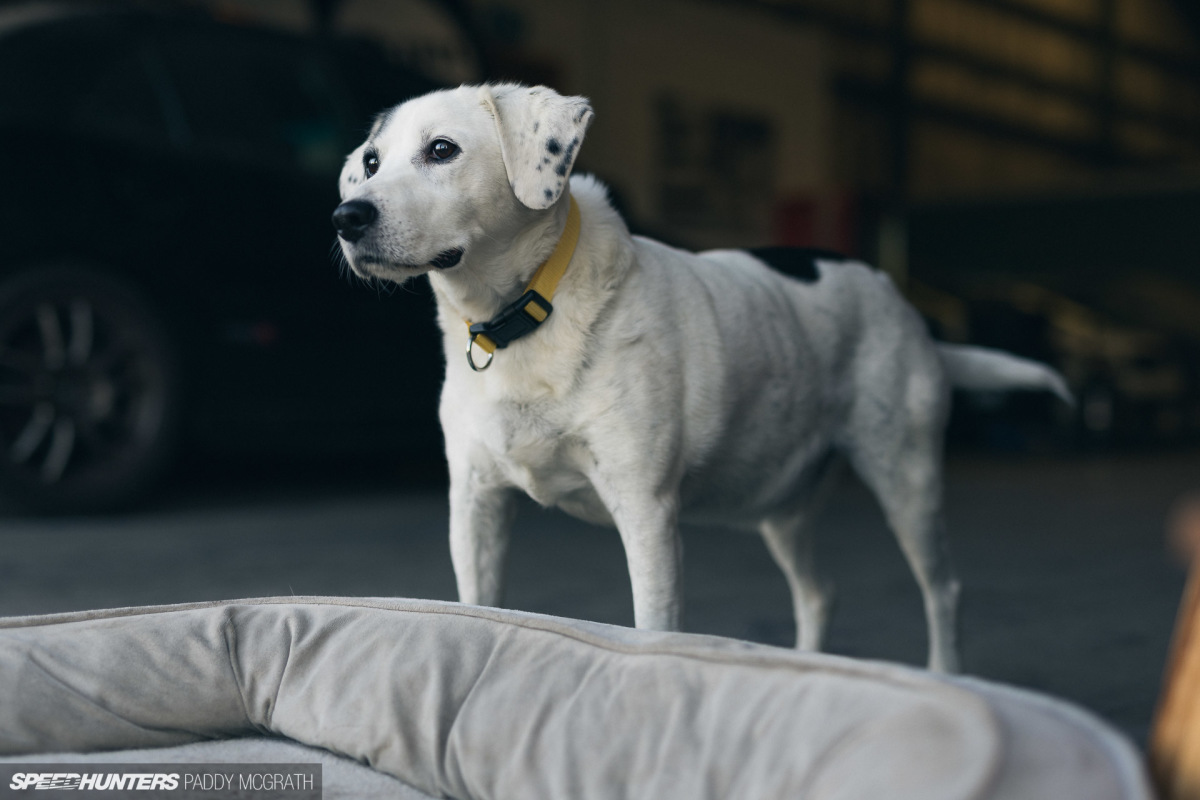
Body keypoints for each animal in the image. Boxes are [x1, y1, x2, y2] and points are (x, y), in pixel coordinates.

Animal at [331, 81, 1070, 671]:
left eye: (442, 150)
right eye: (370, 163)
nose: (346, 216)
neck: (527, 312)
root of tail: (906, 305)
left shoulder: (647, 514)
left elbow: (653, 632)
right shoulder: (476, 506)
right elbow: (478, 606)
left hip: (905, 478)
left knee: (942, 591)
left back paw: (946, 674)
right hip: (781, 500)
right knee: (819, 592)